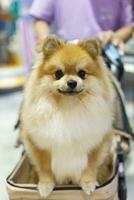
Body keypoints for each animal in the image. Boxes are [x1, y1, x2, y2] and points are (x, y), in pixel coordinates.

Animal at [19, 35, 115, 198]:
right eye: (58, 73)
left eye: (82, 73)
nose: (71, 82)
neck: (68, 106)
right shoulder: (38, 144)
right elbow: (44, 168)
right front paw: (45, 185)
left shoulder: (97, 143)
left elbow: (90, 165)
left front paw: (88, 183)